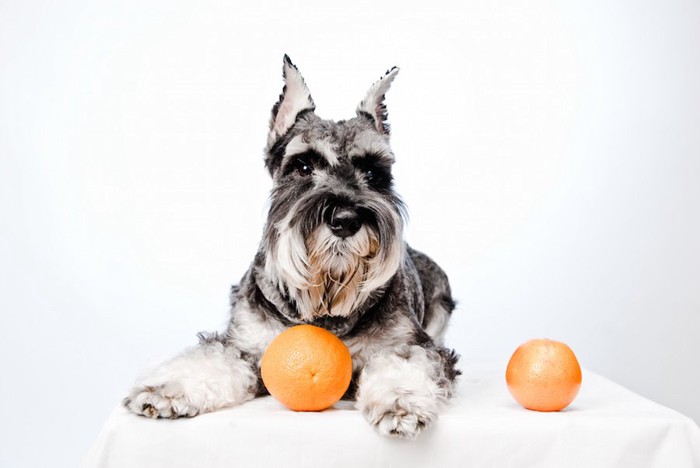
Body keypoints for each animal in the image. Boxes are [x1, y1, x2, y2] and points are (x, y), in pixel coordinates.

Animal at [123, 55, 462, 438]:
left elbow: (404, 365)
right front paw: (166, 389)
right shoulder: (243, 346)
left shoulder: (410, 346)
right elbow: (209, 359)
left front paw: (401, 401)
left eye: (374, 174)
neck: (324, 300)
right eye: (302, 166)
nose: (346, 219)